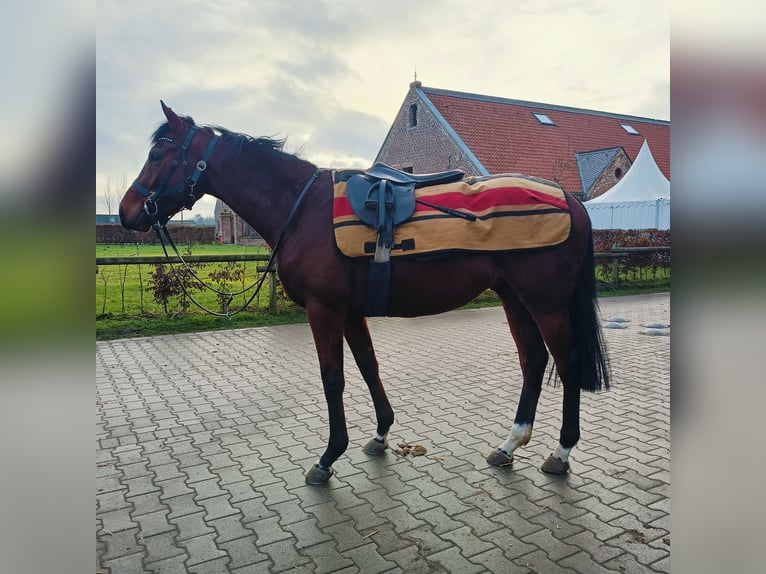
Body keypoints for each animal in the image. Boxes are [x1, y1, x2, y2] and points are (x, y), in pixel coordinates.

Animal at [119, 101, 609, 485]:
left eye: (159, 153)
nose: (127, 211)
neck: (304, 209)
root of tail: (570, 198)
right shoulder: (351, 313)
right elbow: (369, 367)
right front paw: (380, 435)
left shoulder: (324, 311)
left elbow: (333, 379)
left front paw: (328, 457)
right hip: (514, 297)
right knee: (534, 361)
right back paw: (509, 445)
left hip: (546, 302)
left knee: (566, 363)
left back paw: (560, 453)